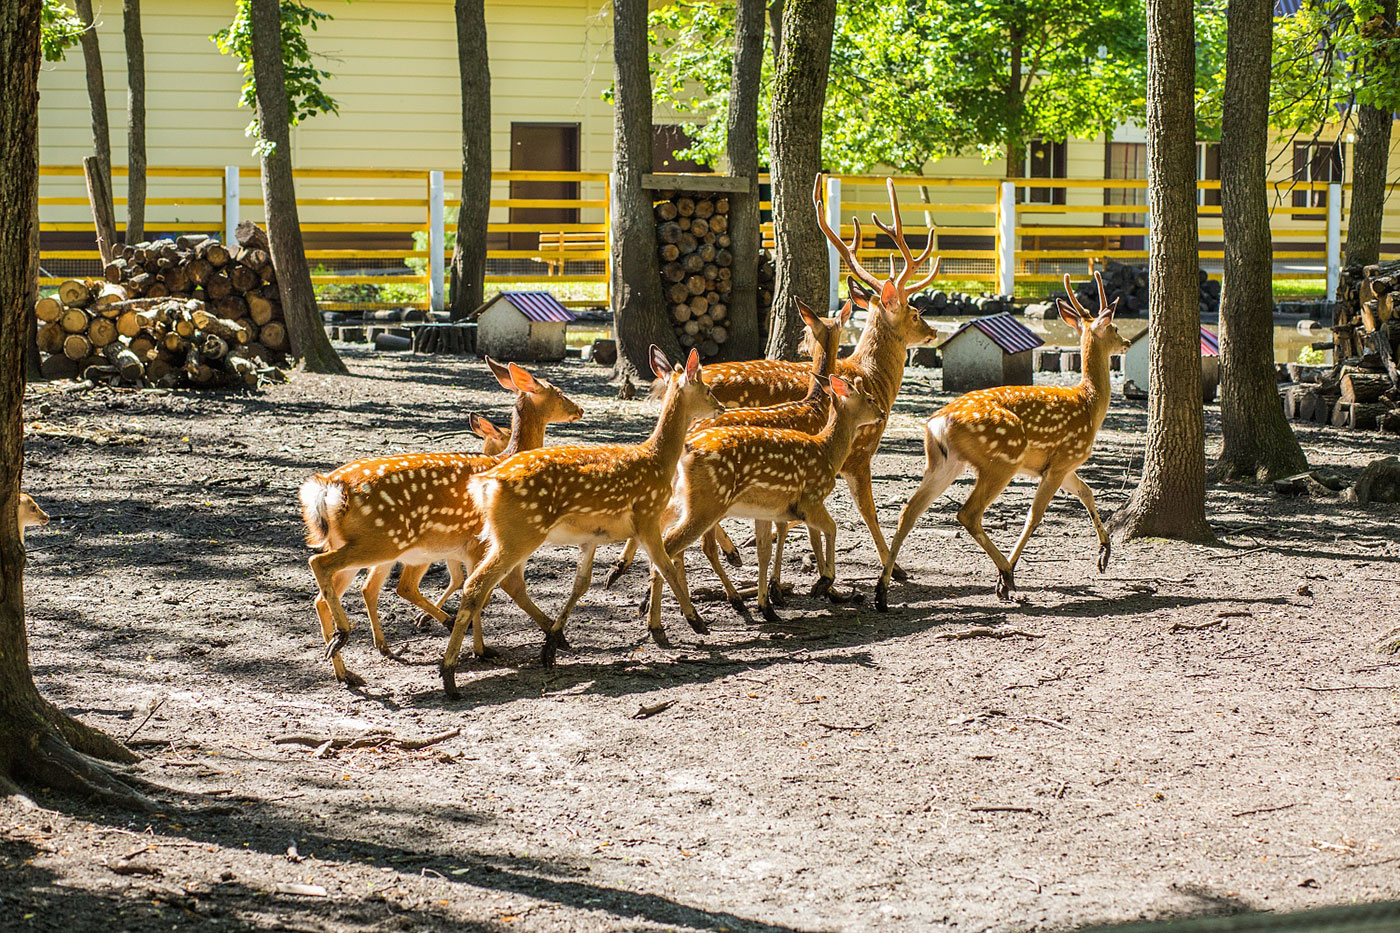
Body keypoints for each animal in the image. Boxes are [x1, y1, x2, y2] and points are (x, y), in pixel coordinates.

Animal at [298, 355, 582, 683]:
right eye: (558, 392)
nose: (579, 409)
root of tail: (328, 488)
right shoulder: (479, 543)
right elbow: (486, 590)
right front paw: (486, 648)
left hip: (358, 543)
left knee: (326, 595)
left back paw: (347, 670)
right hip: (383, 541)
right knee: (323, 565)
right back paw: (349, 637)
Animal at [436, 344, 722, 694]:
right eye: (707, 389)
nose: (720, 407)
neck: (657, 461)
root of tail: (486, 483)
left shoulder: (592, 536)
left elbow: (581, 584)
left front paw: (550, 646)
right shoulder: (647, 516)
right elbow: (665, 566)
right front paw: (696, 622)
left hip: (505, 535)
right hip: (519, 533)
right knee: (478, 584)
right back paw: (449, 674)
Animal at [641, 372, 879, 624]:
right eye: (870, 399)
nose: (882, 413)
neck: (828, 451)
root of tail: (686, 450)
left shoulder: (767, 510)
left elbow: (764, 551)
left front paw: (767, 605)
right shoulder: (811, 499)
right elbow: (831, 529)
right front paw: (822, 584)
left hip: (685, 500)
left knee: (662, 536)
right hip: (707, 502)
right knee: (671, 544)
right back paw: (676, 620)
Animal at [694, 175, 935, 577]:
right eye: (915, 312)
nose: (932, 332)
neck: (873, 378)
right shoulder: (860, 453)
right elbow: (867, 510)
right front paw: (894, 567)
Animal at [879, 273, 1131, 607]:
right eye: (1114, 328)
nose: (1127, 342)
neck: (1090, 405)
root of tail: (938, 423)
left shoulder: (1061, 465)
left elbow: (1087, 493)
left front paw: (1104, 553)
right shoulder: (1063, 458)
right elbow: (1034, 516)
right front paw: (1006, 576)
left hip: (943, 463)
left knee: (909, 510)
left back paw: (882, 590)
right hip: (1000, 460)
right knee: (968, 513)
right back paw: (1006, 577)